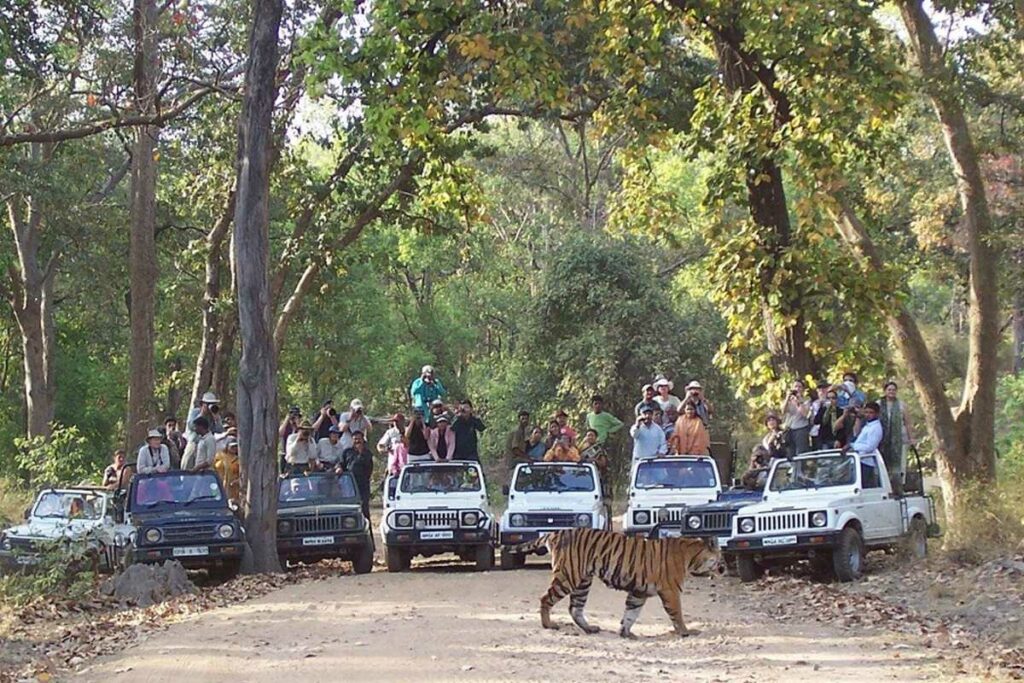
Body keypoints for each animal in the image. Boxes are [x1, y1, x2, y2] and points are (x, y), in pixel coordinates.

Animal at [514, 528, 720, 638]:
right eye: (719, 559)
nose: (724, 569)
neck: (691, 556)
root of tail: (556, 532)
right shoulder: (671, 591)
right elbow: (677, 614)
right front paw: (685, 632)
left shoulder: (639, 592)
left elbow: (631, 613)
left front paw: (626, 633)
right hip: (567, 576)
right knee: (546, 598)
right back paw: (548, 625)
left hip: (583, 582)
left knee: (575, 608)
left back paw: (590, 628)